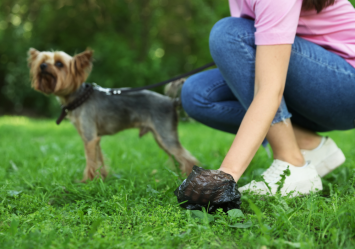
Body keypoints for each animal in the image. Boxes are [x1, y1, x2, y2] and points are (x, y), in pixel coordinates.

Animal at [27, 48, 200, 181]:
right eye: (42, 61)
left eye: (59, 64)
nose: (42, 66)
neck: (79, 97)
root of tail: (172, 101)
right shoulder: (95, 138)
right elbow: (99, 160)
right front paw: (102, 178)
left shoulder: (89, 138)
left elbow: (90, 161)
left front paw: (87, 182)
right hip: (160, 138)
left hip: (165, 135)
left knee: (189, 159)